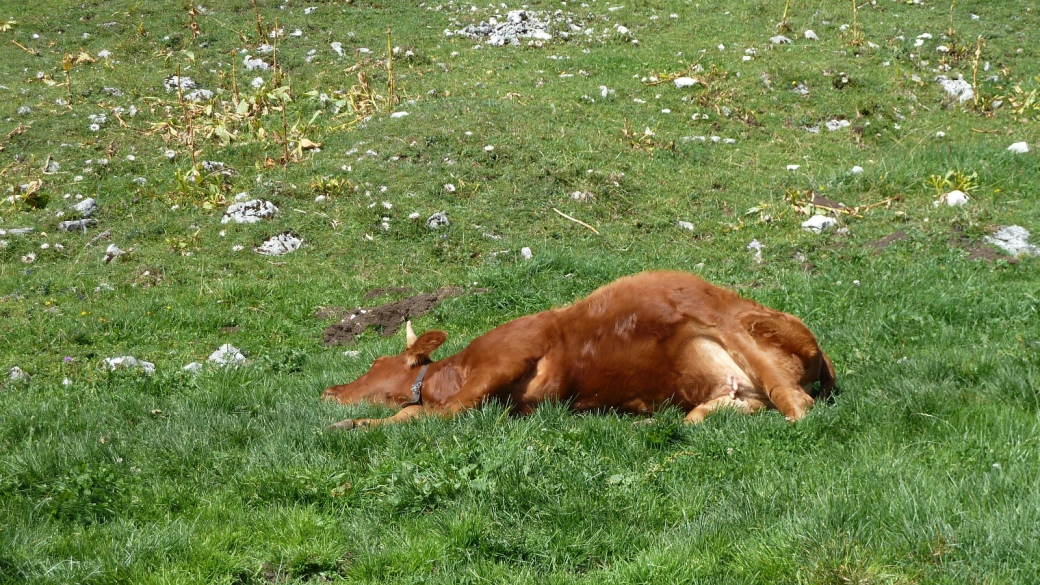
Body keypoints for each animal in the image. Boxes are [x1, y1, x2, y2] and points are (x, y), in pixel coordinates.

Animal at [320, 270, 832, 428]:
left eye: (375, 362)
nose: (328, 391)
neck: (453, 372)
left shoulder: (509, 354)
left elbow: (436, 412)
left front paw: (355, 422)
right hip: (728, 392)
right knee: (706, 413)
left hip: (734, 324)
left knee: (798, 404)